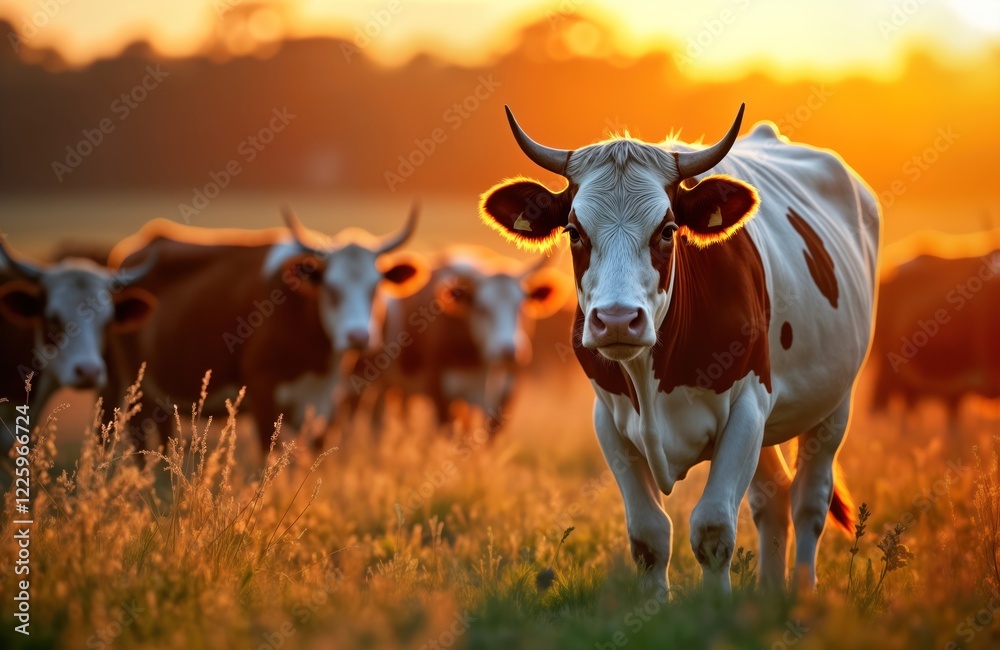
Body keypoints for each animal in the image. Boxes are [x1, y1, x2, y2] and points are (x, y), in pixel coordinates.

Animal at [105, 206, 428, 453]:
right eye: (331, 288)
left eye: (376, 287)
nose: (358, 336)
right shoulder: (262, 392)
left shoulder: (324, 404)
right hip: (134, 385)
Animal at [476, 104, 880, 594]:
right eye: (573, 231)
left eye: (668, 230)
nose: (617, 319)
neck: (652, 379)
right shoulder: (609, 421)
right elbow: (649, 535)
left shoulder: (747, 406)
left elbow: (713, 528)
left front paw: (717, 606)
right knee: (775, 497)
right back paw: (769, 594)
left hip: (834, 403)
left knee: (809, 500)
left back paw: (802, 592)